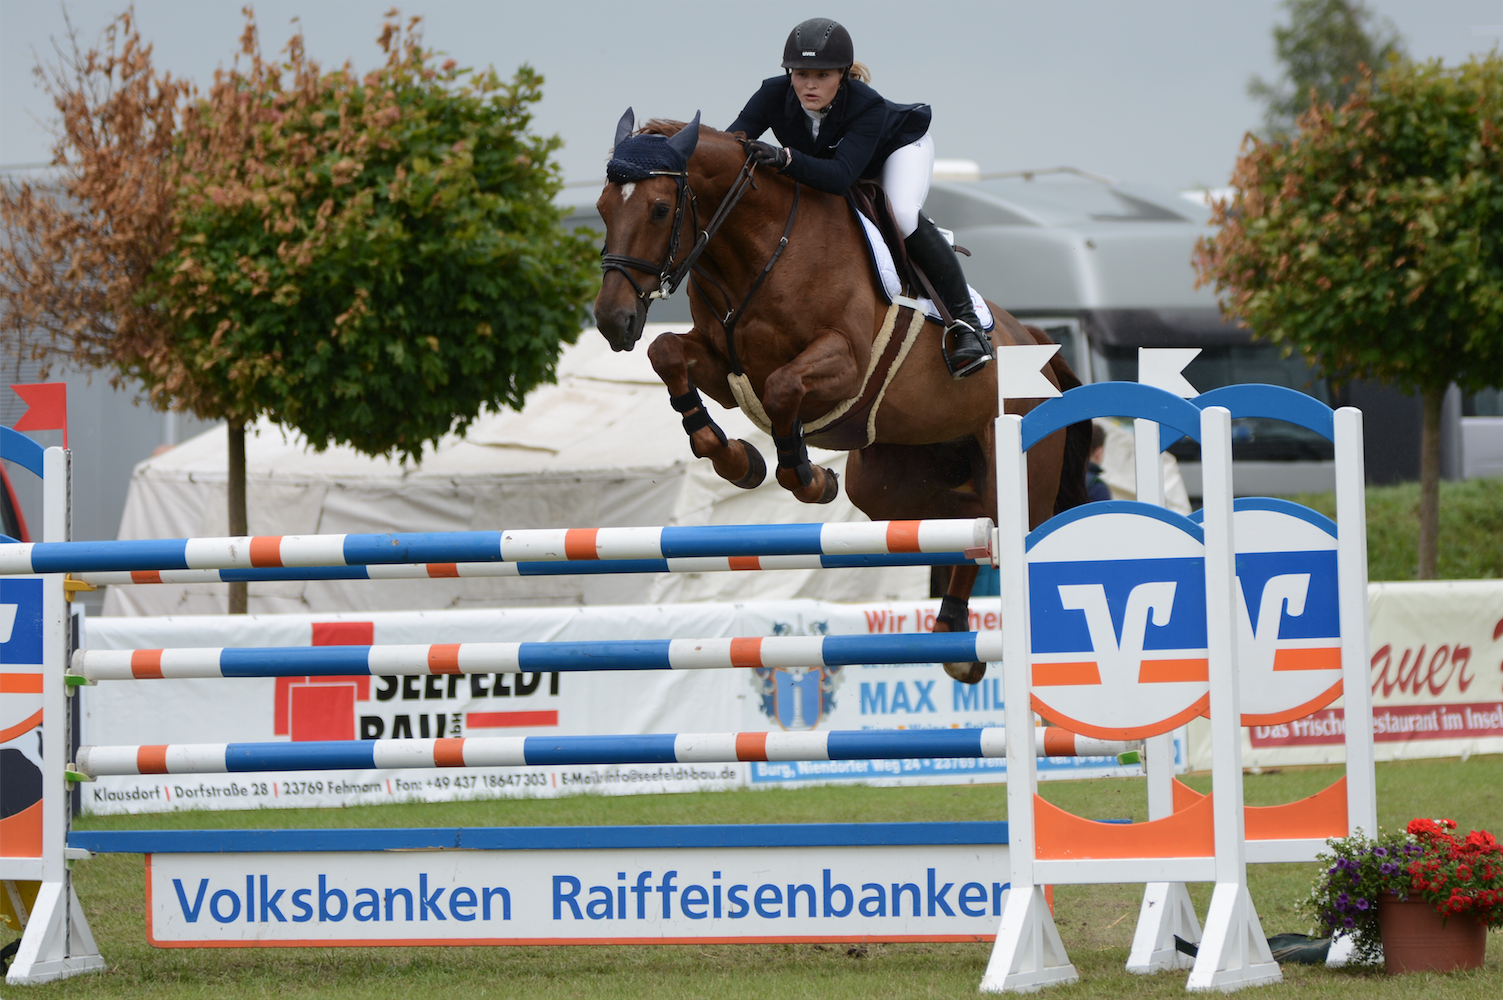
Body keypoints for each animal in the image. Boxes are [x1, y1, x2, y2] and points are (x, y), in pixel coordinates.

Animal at [589, 111, 1094, 685]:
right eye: (603, 207)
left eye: (658, 208)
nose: (612, 320)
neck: (761, 248)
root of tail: (1037, 346)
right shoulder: (726, 368)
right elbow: (667, 353)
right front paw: (737, 460)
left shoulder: (844, 364)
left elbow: (784, 389)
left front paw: (807, 477)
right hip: (889, 488)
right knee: (968, 524)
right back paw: (954, 632)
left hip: (1021, 470)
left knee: (1006, 528)